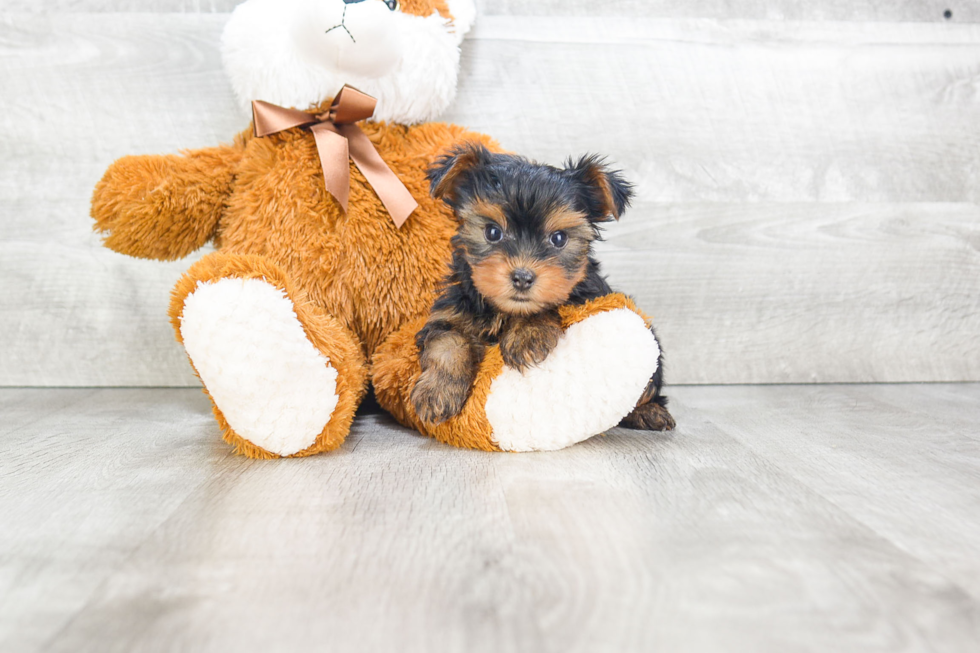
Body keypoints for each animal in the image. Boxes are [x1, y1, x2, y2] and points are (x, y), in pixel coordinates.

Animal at [412, 141, 672, 432]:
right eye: (492, 232)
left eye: (558, 238)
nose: (523, 277)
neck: (506, 311)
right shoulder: (451, 312)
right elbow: (446, 341)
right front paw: (437, 392)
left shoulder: (588, 297)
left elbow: (550, 305)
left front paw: (527, 335)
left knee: (647, 388)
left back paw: (649, 412)